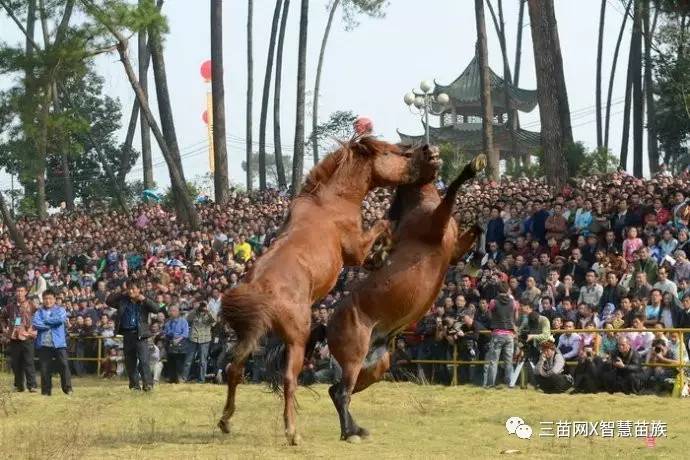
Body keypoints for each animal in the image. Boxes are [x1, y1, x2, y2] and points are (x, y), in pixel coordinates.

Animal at [217, 136, 441, 445]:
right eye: (396, 152)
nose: (425, 152)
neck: (333, 200)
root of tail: (260, 292)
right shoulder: (355, 249)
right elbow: (382, 225)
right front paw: (384, 249)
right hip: (296, 339)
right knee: (289, 379)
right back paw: (292, 432)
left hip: (254, 336)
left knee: (235, 370)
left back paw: (226, 421)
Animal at [324, 153, 486, 442]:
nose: (435, 152)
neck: (420, 207)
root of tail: (326, 324)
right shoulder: (437, 225)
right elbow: (453, 191)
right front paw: (472, 167)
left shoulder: (453, 250)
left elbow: (479, 226)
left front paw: (476, 262)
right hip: (355, 359)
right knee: (342, 393)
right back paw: (350, 434)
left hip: (374, 365)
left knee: (336, 390)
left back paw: (355, 430)